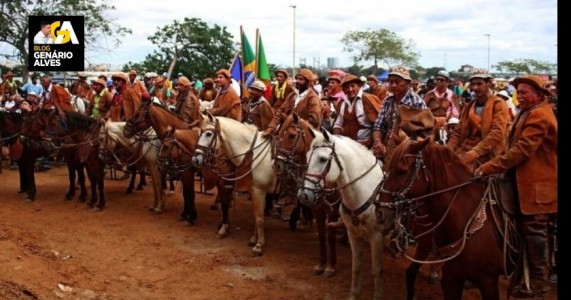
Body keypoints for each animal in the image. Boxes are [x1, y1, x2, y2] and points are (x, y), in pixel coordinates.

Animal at [192, 113, 278, 256]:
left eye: (209, 134)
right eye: (200, 132)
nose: (195, 159)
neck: (250, 153)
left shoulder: (258, 190)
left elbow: (258, 217)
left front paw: (259, 245)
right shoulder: (253, 190)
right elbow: (255, 214)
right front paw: (253, 239)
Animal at [274, 113, 342, 278]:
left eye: (292, 135)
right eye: (280, 134)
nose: (277, 164)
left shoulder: (333, 211)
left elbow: (330, 237)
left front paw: (331, 266)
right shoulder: (318, 209)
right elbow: (322, 236)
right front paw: (321, 264)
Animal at [298, 129, 386, 300]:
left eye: (323, 159)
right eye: (307, 156)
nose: (304, 194)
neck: (366, 190)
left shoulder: (377, 237)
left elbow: (377, 270)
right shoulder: (353, 233)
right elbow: (356, 266)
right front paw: (353, 294)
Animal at [378, 137, 508, 300]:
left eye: (401, 171)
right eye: (387, 165)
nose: (380, 212)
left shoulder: (487, 280)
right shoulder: (450, 274)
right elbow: (411, 272)